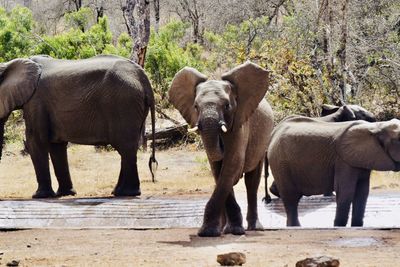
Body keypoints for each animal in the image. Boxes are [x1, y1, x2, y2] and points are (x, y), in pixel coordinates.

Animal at [0, 55, 156, 199]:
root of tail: (143, 77)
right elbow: (56, 146)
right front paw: (65, 194)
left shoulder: (35, 102)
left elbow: (35, 141)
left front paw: (40, 196)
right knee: (128, 147)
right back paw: (118, 192)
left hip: (123, 103)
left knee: (125, 146)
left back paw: (127, 193)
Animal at [167, 61, 274, 238]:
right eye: (195, 106)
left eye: (227, 105)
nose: (220, 142)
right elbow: (218, 168)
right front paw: (215, 231)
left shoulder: (240, 123)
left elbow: (232, 165)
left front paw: (229, 231)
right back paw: (224, 229)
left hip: (262, 141)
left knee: (252, 181)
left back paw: (254, 228)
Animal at [266, 116, 400, 227]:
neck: (376, 127)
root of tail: (274, 132)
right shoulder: (343, 161)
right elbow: (346, 191)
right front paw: (338, 226)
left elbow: (362, 193)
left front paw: (356, 226)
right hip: (280, 162)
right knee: (291, 198)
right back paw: (295, 227)